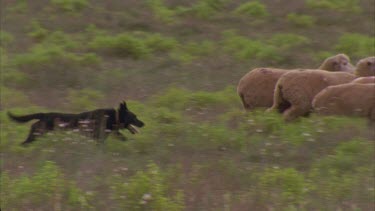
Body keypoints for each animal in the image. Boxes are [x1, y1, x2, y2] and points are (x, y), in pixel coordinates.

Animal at [7, 101, 145, 145]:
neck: (113, 117)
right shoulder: (98, 137)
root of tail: (44, 114)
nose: (143, 123)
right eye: (134, 117)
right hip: (38, 133)